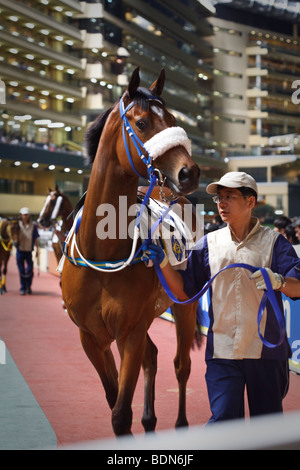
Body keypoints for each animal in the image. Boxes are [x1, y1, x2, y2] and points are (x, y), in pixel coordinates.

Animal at [61, 69, 202, 436]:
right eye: (141, 123)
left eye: (173, 120)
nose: (189, 172)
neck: (102, 253)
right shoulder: (91, 337)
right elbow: (114, 402)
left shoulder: (129, 331)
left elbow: (121, 412)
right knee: (153, 356)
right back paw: (150, 420)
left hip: (184, 304)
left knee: (181, 365)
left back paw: (181, 423)